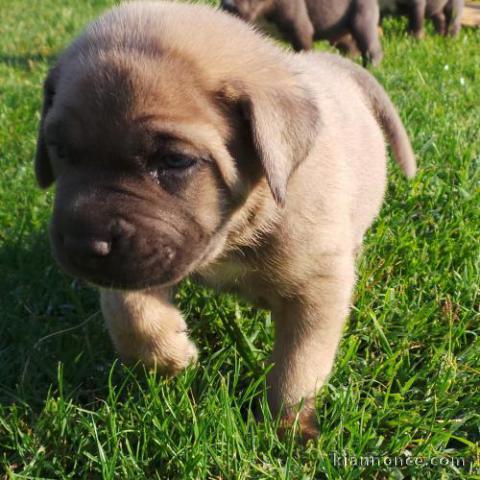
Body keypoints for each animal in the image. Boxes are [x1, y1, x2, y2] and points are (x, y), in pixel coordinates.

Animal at [220, 0, 382, 66]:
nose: (229, 5)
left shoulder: (301, 27)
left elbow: (303, 50)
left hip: (362, 18)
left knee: (371, 48)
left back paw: (372, 67)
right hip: (340, 32)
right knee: (350, 46)